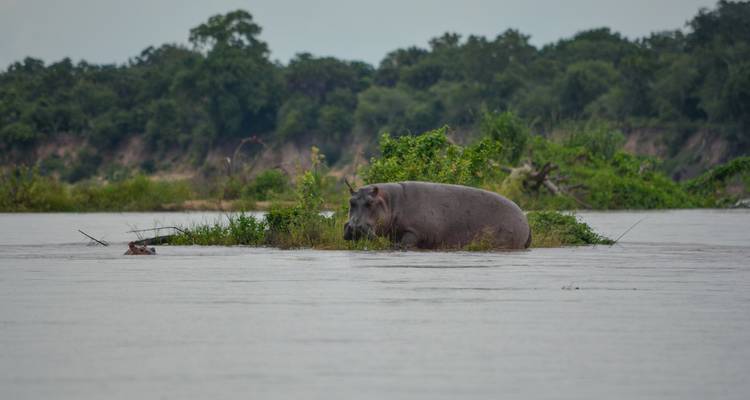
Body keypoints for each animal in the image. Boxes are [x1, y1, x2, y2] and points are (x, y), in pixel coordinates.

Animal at [344, 181, 531, 249]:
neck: (390, 202)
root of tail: (526, 220)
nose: (354, 227)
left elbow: (406, 242)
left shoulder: (415, 232)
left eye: (370, 202)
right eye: (351, 201)